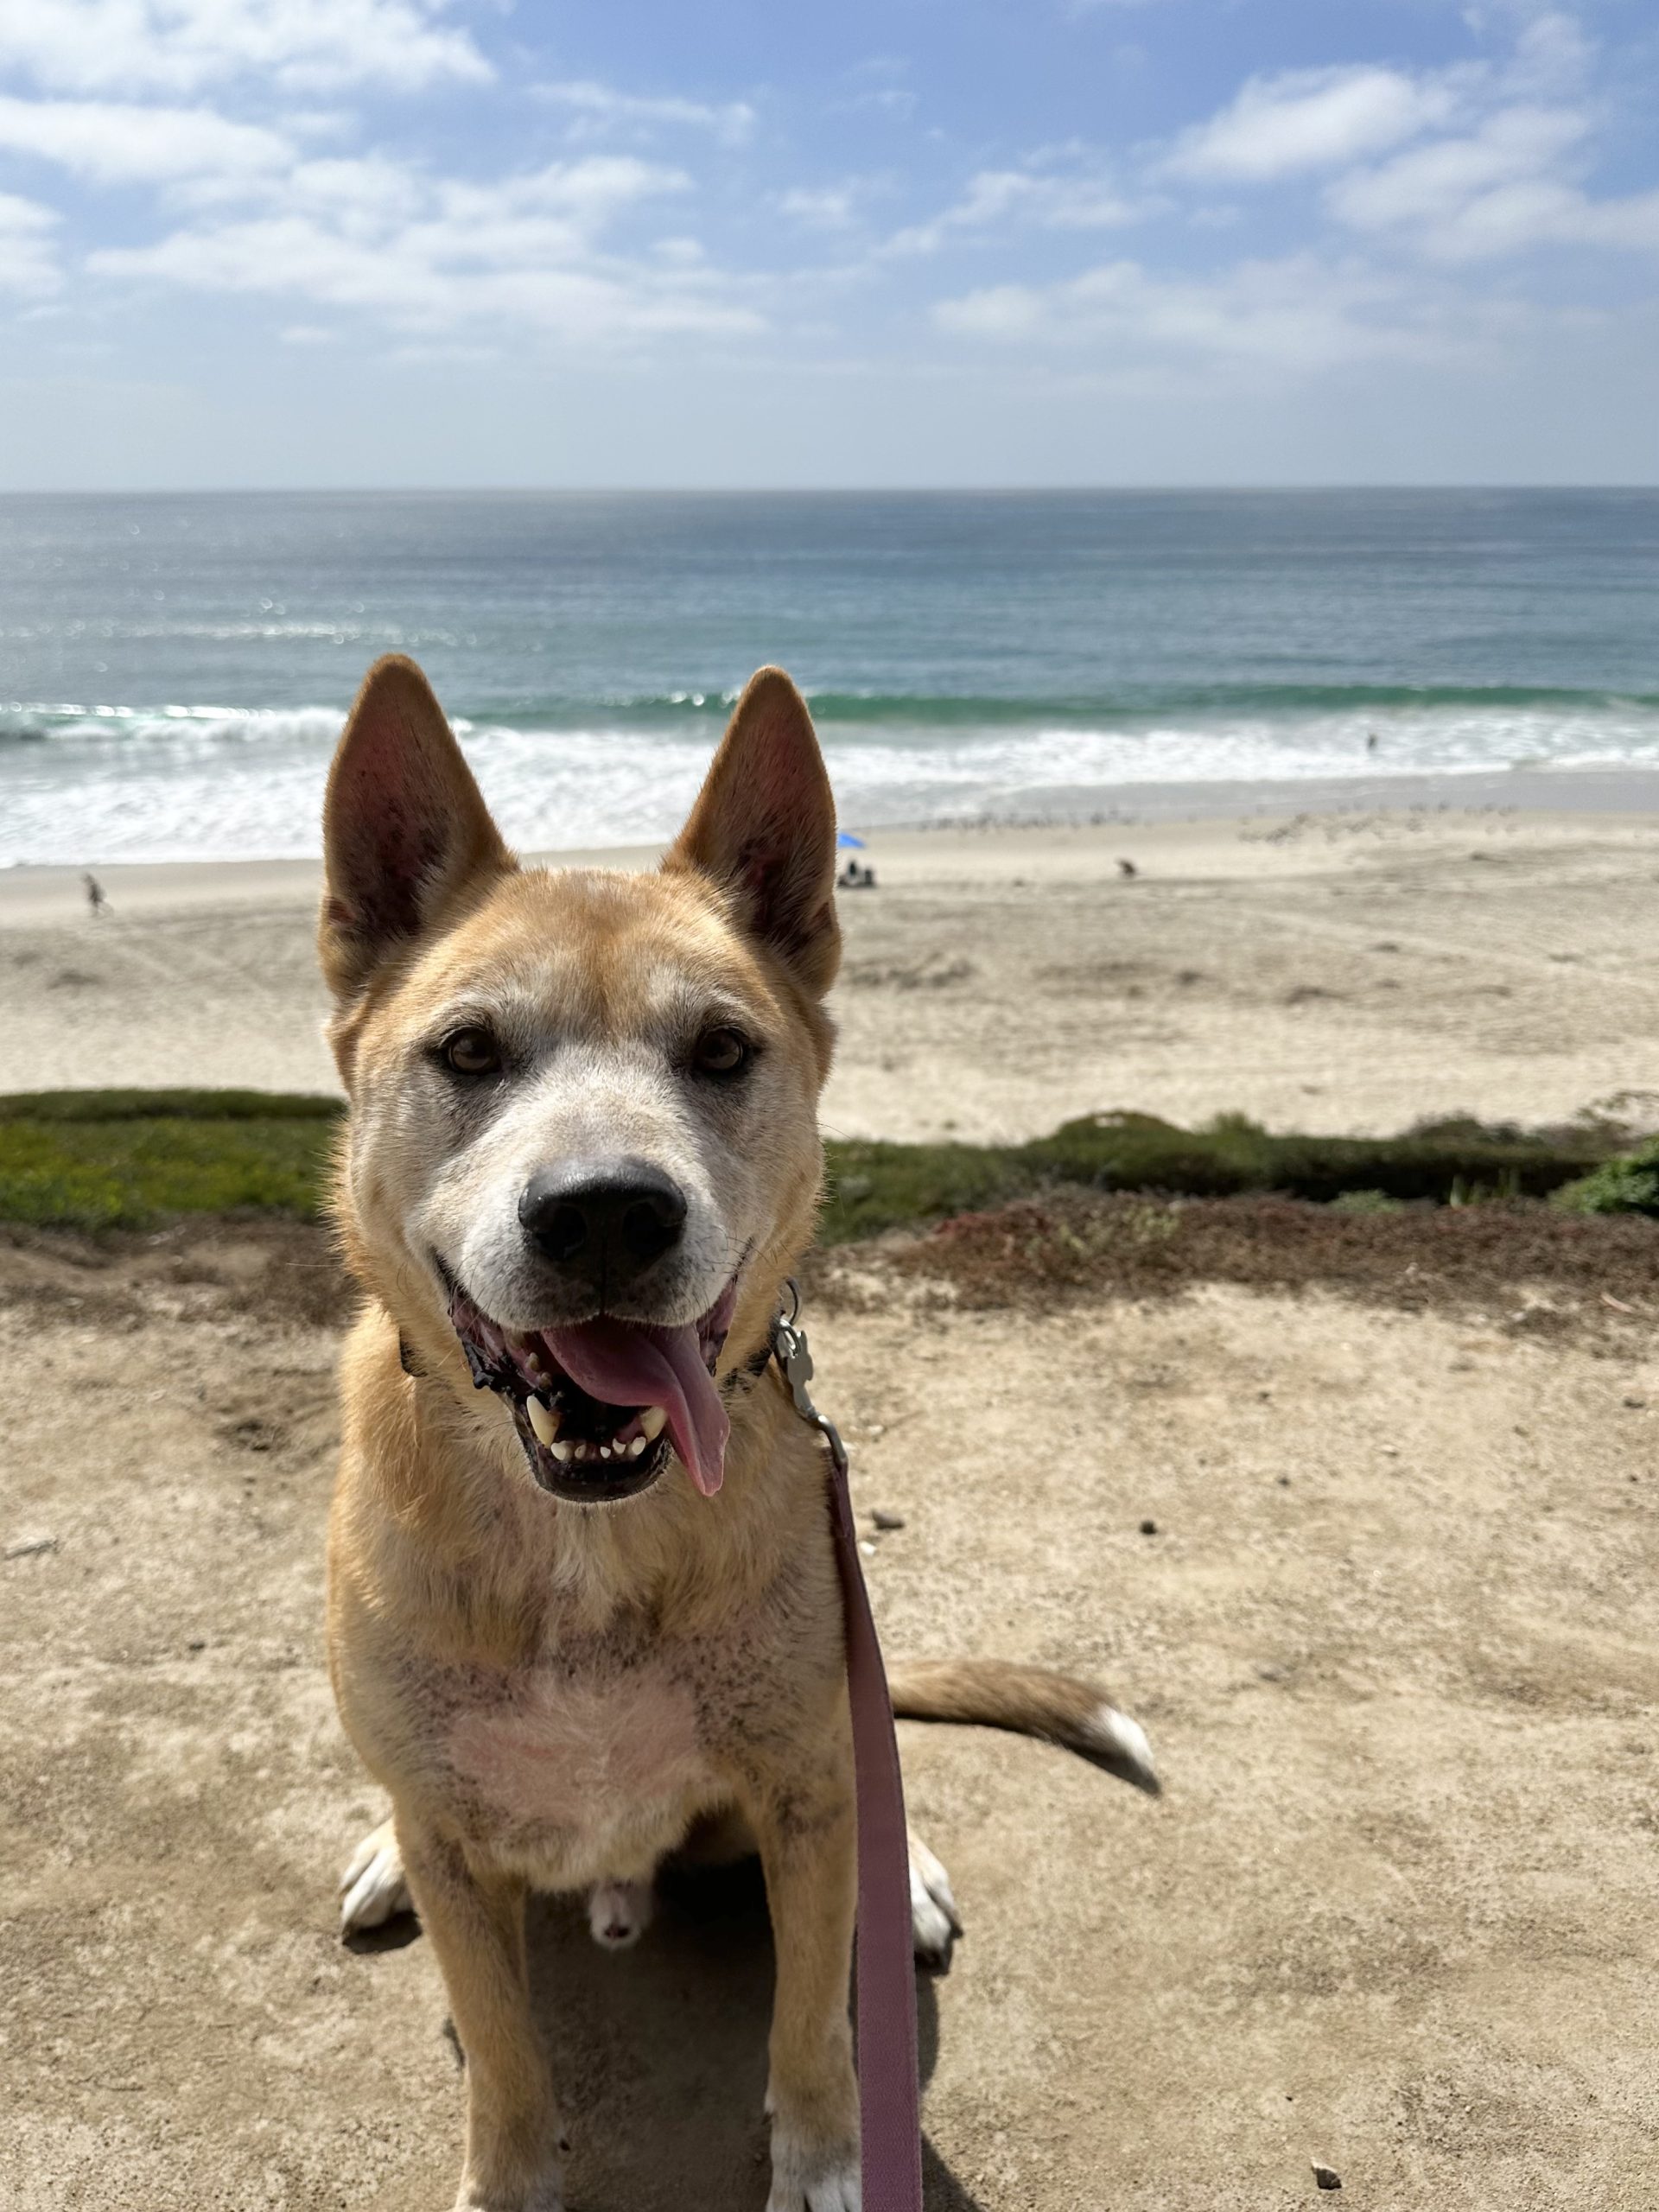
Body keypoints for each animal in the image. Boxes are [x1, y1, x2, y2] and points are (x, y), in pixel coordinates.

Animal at [321, 654, 1159, 2212]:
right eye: (468, 1049)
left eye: (720, 1048)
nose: (604, 1213)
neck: (588, 1540)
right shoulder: (467, 1869)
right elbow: (507, 2062)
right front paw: (509, 2178)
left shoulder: (803, 1803)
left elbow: (814, 2022)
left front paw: (830, 2163)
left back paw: (912, 1876)